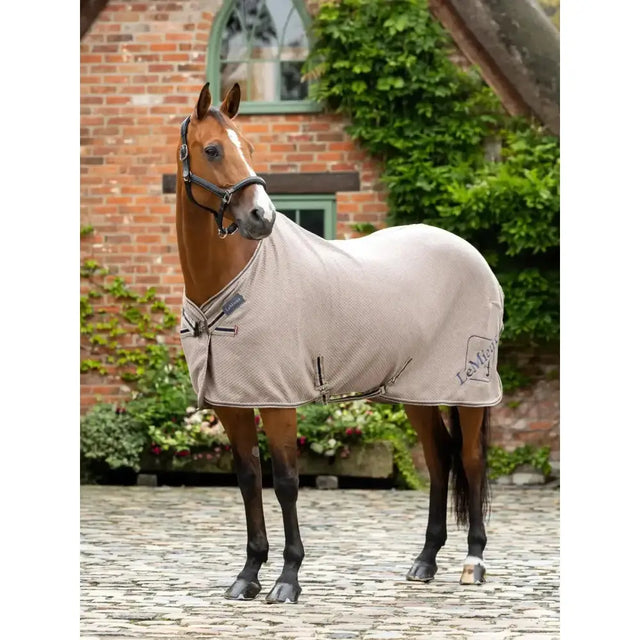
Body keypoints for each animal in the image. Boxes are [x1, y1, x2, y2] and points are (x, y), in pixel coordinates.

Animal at [175, 82, 503, 604]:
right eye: (212, 150)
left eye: (249, 148)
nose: (261, 217)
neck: (235, 279)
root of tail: (471, 253)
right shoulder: (232, 401)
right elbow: (248, 480)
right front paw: (248, 575)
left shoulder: (279, 399)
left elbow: (286, 482)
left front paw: (287, 580)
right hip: (416, 392)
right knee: (438, 460)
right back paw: (425, 561)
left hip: (469, 390)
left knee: (469, 460)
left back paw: (473, 562)